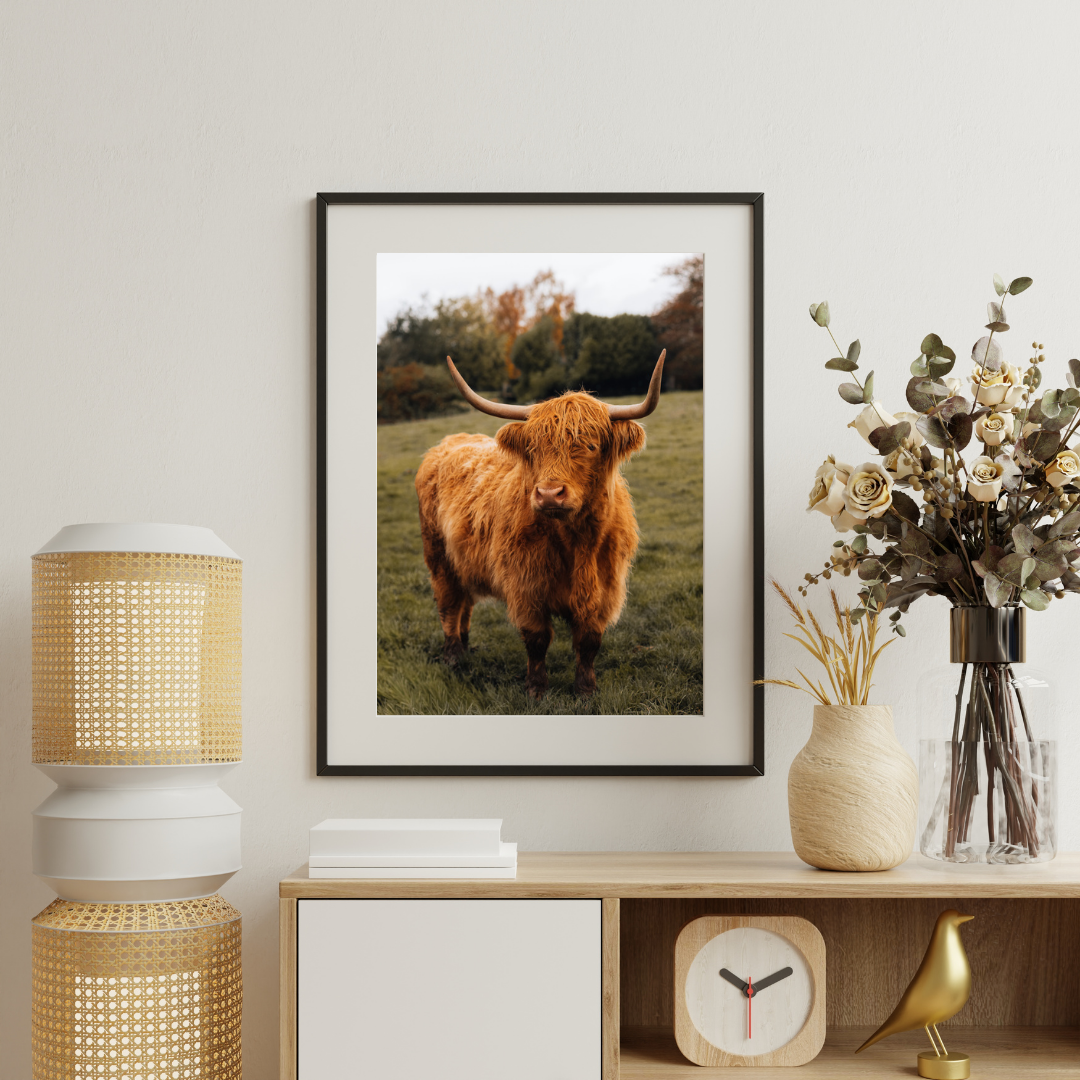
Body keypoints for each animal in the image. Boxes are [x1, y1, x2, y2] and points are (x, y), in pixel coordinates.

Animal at [414, 351, 665, 698]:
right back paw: (453, 655)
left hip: (463, 560)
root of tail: (451, 441)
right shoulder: (525, 587)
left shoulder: (604, 590)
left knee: (465, 602)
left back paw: (465, 646)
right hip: (437, 555)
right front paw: (536, 689)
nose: (548, 494)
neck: (576, 542)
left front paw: (585, 690)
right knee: (449, 602)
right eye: (533, 449)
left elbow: (589, 641)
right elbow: (536, 639)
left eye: (590, 446)